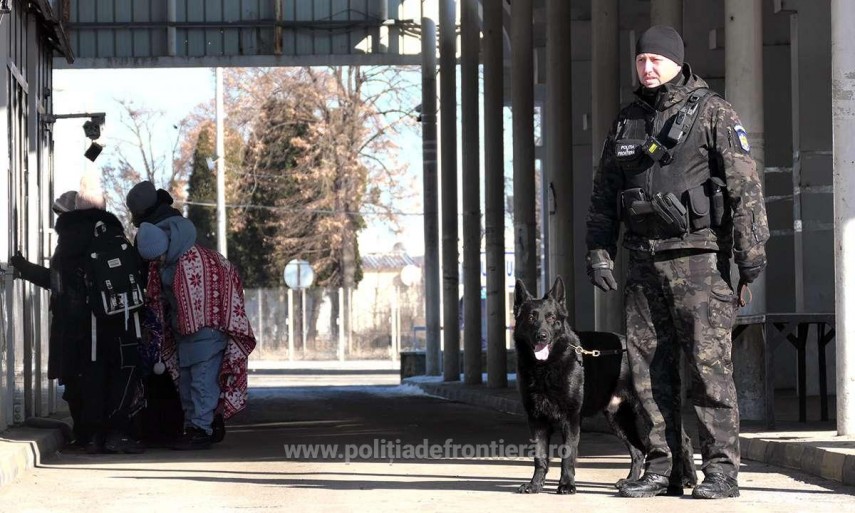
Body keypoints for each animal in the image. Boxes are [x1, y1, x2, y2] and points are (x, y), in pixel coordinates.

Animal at [512, 278, 700, 494]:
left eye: (551, 318)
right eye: (531, 317)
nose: (541, 336)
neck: (545, 366)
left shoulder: (571, 419)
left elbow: (568, 454)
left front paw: (566, 484)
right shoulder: (536, 420)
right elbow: (540, 456)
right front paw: (535, 484)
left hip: (650, 413)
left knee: (682, 442)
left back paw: (687, 480)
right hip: (618, 419)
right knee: (639, 450)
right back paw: (632, 481)